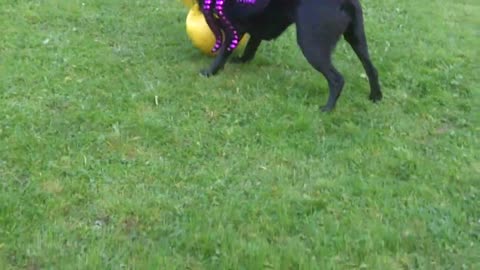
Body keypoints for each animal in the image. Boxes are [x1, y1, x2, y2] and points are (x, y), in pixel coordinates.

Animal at [197, 0, 380, 112]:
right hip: (357, 39)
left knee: (337, 79)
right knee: (371, 69)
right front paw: (241, 60)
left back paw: (327, 108)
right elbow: (250, 48)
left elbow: (223, 54)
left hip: (310, 44)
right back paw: (376, 97)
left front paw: (209, 72)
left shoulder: (232, 29)